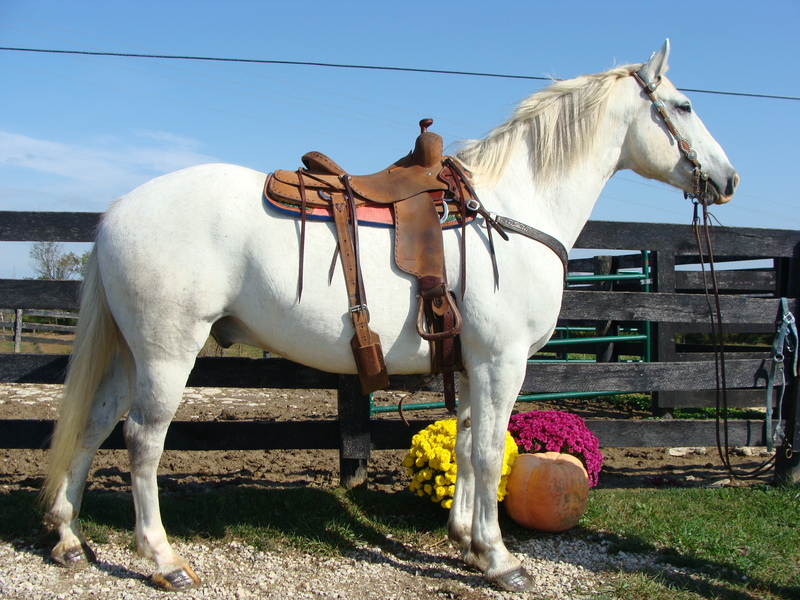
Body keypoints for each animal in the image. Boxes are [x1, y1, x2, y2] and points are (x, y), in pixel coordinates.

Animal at [41, 40, 737, 592]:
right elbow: (490, 451)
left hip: (133, 353)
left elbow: (466, 443)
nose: (728, 179)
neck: (511, 211)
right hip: (167, 352)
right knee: (142, 439)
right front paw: (499, 559)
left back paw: (68, 538)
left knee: (95, 424)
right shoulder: (501, 361)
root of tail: (120, 209)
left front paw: (464, 539)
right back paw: (162, 559)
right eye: (683, 106)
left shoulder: (470, 364)